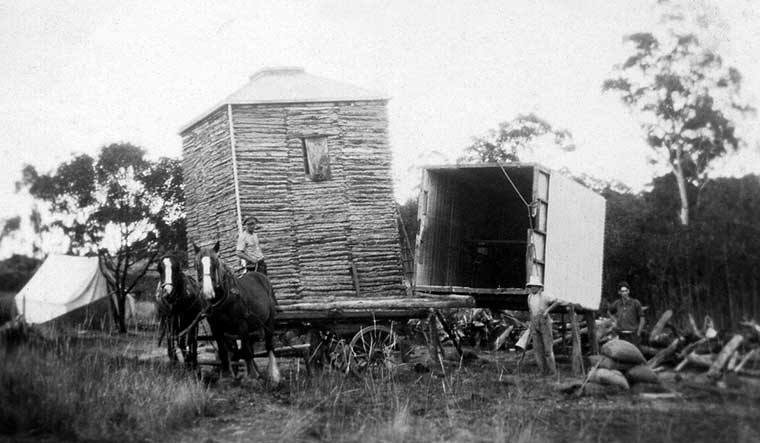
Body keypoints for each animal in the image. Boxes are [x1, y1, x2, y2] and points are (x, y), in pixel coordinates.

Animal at [194, 241, 280, 384]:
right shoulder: (216, 328)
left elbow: (245, 351)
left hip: (269, 321)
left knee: (269, 345)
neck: (227, 298)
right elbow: (224, 351)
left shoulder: (242, 324)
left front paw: (251, 377)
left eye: (215, 262)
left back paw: (273, 375)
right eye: (197, 264)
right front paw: (226, 376)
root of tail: (261, 276)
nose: (207, 292)